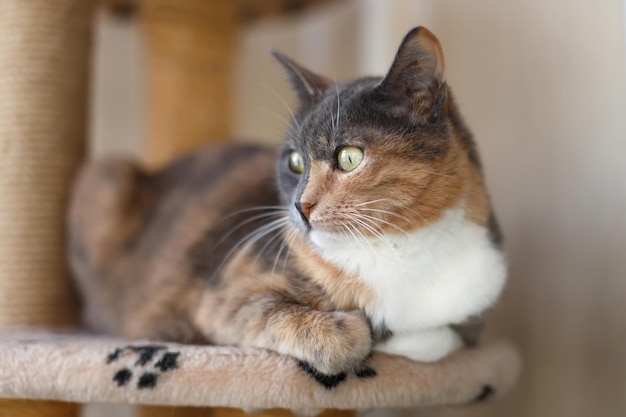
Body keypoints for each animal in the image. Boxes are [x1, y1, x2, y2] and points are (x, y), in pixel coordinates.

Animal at [69, 27, 508, 376]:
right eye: (295, 162)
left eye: (349, 157)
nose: (300, 207)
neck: (400, 249)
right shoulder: (225, 297)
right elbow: (322, 330)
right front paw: (358, 331)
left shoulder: (475, 311)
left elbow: (441, 338)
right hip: (105, 174)